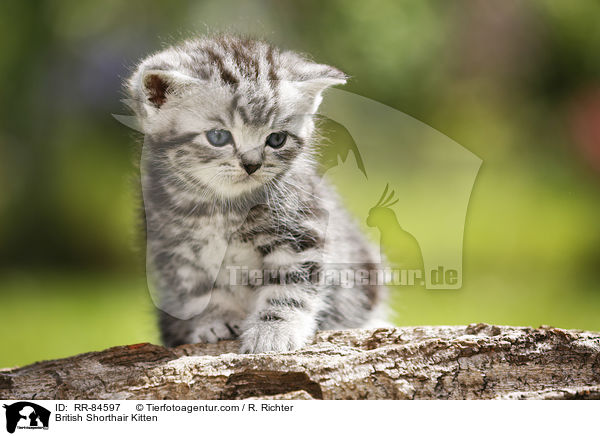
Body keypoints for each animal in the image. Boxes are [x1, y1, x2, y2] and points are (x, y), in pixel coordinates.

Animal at [127, 35, 390, 354]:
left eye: (276, 139)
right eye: (218, 136)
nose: (252, 165)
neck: (221, 208)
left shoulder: (302, 231)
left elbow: (291, 286)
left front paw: (274, 330)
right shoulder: (174, 249)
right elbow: (199, 291)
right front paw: (215, 320)